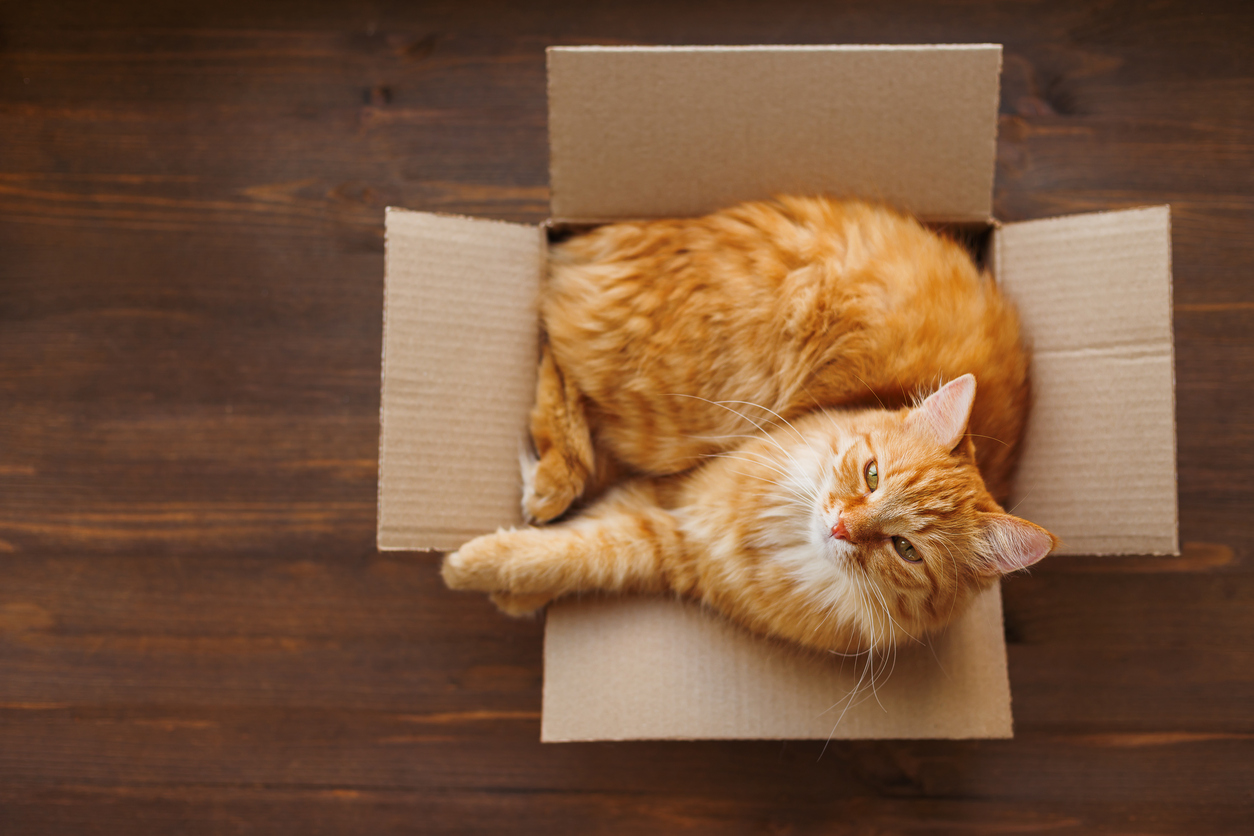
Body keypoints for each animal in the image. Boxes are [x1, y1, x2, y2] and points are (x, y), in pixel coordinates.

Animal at [441, 198, 1058, 661]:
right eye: (872, 474)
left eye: (906, 549)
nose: (840, 525)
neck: (786, 541)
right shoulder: (677, 500)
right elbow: (557, 549)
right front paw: (469, 568)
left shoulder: (666, 538)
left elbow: (575, 554)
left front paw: (503, 586)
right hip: (672, 411)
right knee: (558, 343)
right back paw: (550, 482)